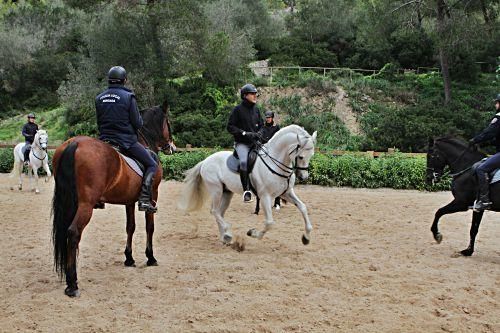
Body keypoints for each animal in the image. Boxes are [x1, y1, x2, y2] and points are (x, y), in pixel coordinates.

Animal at [52, 100, 174, 296]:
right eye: (168, 122)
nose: (171, 146)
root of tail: (75, 143)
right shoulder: (153, 195)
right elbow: (150, 226)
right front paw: (150, 257)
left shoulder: (129, 201)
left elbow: (130, 227)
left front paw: (129, 258)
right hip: (85, 205)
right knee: (73, 233)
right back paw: (72, 284)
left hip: (69, 202)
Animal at [178, 124, 316, 244]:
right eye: (301, 156)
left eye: (312, 155)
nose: (303, 177)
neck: (275, 162)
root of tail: (206, 160)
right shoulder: (265, 196)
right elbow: (269, 222)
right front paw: (253, 233)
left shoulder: (286, 193)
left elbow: (303, 207)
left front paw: (306, 238)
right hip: (216, 190)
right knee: (214, 211)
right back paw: (227, 233)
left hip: (227, 192)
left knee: (219, 212)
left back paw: (225, 237)